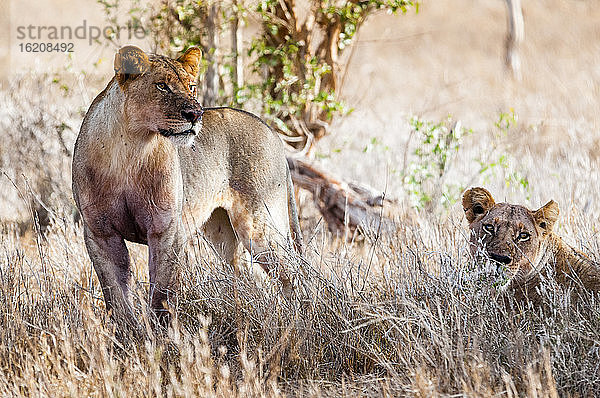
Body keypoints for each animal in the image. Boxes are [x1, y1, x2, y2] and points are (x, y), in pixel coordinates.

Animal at [72, 45, 302, 328]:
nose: (195, 114)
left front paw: (161, 336)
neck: (130, 150)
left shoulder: (166, 230)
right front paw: (128, 336)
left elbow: (161, 294)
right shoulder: (100, 233)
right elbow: (115, 297)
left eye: (191, 87)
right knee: (251, 277)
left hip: (260, 225)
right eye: (162, 86)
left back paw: (300, 320)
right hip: (221, 233)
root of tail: (269, 128)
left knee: (293, 274)